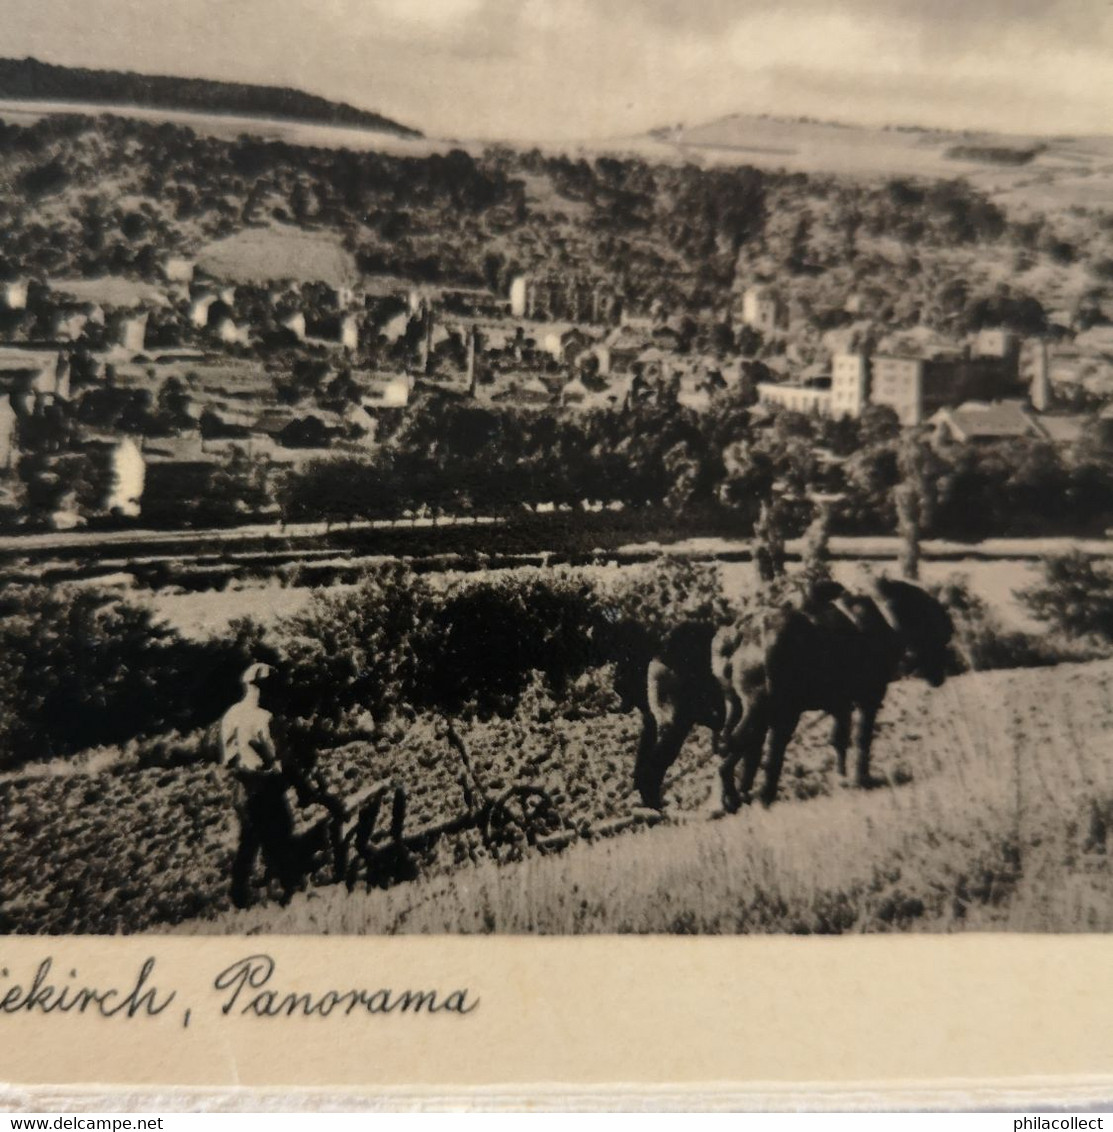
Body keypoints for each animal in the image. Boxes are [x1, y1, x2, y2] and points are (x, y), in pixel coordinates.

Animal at [629, 579, 951, 810]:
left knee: (729, 745)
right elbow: (860, 739)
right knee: (723, 747)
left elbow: (836, 739)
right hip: (714, 718)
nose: (943, 672)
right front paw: (859, 778)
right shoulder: (867, 697)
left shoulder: (836, 704)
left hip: (732, 712)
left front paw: (842, 778)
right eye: (939, 633)